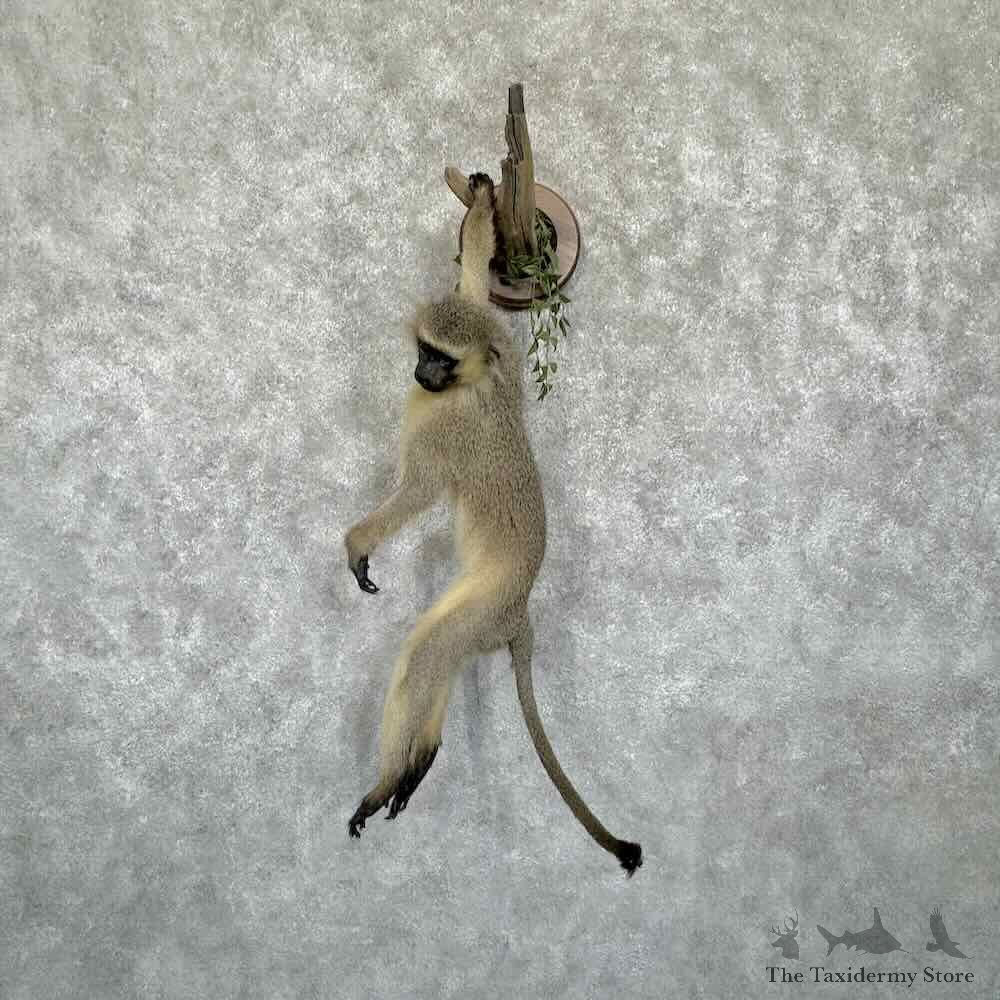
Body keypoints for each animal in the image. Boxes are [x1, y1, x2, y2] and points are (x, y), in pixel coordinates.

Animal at [344, 172, 642, 876]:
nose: (421, 373)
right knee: (435, 654)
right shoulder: (485, 327)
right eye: (426, 349)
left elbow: (419, 491)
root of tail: (520, 608)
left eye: (440, 361)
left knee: (431, 650)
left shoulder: (445, 431)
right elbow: (475, 278)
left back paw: (388, 776)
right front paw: (481, 202)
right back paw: (420, 760)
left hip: (480, 609)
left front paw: (359, 542)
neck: (474, 383)